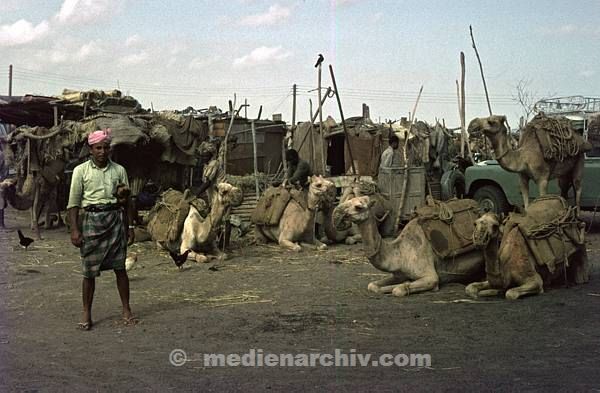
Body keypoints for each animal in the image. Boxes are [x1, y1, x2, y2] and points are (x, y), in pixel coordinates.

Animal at [336, 196, 486, 298]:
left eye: (358, 207)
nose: (339, 214)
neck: (399, 253)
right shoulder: (398, 274)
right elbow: (372, 285)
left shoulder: (430, 276)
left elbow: (399, 290)